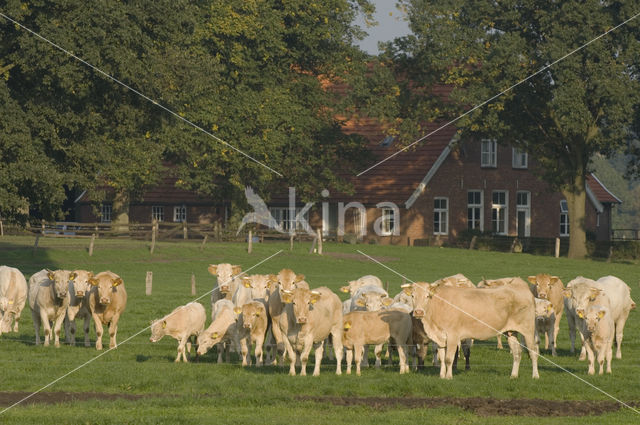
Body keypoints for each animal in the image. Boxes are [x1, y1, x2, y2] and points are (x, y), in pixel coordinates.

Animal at [408, 280, 536, 380]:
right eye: (413, 296)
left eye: (427, 296)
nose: (418, 312)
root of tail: (519, 284)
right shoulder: (440, 337)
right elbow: (442, 359)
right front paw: (442, 376)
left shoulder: (453, 336)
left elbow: (449, 359)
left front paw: (448, 377)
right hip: (510, 332)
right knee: (517, 352)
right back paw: (513, 375)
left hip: (528, 330)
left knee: (533, 352)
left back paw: (535, 376)